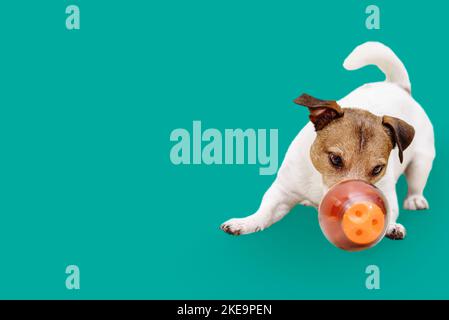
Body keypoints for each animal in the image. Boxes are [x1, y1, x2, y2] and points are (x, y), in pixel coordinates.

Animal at [220, 40, 434, 240]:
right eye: (335, 159)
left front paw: (391, 226)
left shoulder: (386, 191)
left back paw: (415, 199)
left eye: (377, 169)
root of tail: (396, 86)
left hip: (421, 162)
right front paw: (246, 222)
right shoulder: (283, 191)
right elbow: (265, 210)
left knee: (416, 183)